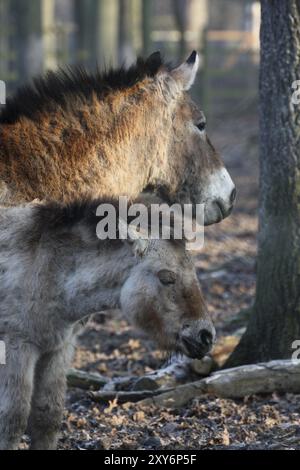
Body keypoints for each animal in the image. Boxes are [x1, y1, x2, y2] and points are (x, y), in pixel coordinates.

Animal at [0, 198, 214, 448]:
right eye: (166, 278)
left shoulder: (58, 348)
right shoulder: (17, 346)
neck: (47, 269)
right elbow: (13, 420)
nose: (206, 335)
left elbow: (47, 417)